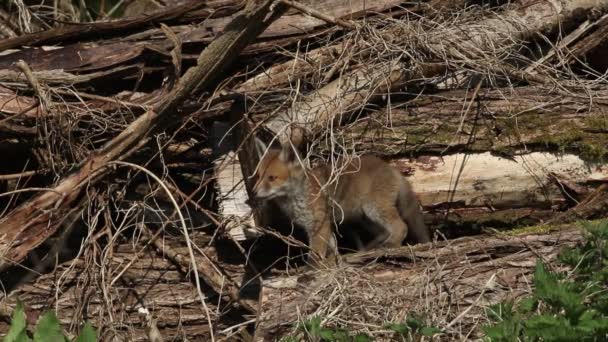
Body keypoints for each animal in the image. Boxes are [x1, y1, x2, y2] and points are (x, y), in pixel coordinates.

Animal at [253, 129, 432, 262]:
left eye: (271, 178)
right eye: (258, 176)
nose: (253, 192)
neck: (298, 197)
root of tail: (392, 168)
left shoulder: (320, 225)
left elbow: (314, 256)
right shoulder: (321, 227)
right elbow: (332, 250)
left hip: (375, 209)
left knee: (401, 226)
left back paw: (391, 246)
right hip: (368, 218)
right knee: (385, 232)